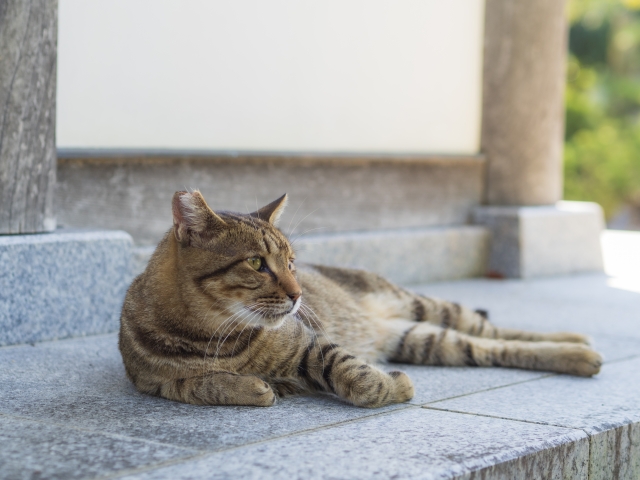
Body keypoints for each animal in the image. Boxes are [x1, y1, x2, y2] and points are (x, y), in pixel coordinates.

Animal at [117, 189, 604, 406]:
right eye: (257, 263)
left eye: (292, 262)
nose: (298, 295)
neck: (209, 336)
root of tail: (381, 324)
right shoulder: (153, 383)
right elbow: (198, 384)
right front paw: (252, 387)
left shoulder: (312, 344)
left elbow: (358, 377)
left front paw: (394, 386)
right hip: (423, 339)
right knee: (491, 347)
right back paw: (577, 352)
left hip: (422, 305)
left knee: (495, 329)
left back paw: (578, 344)